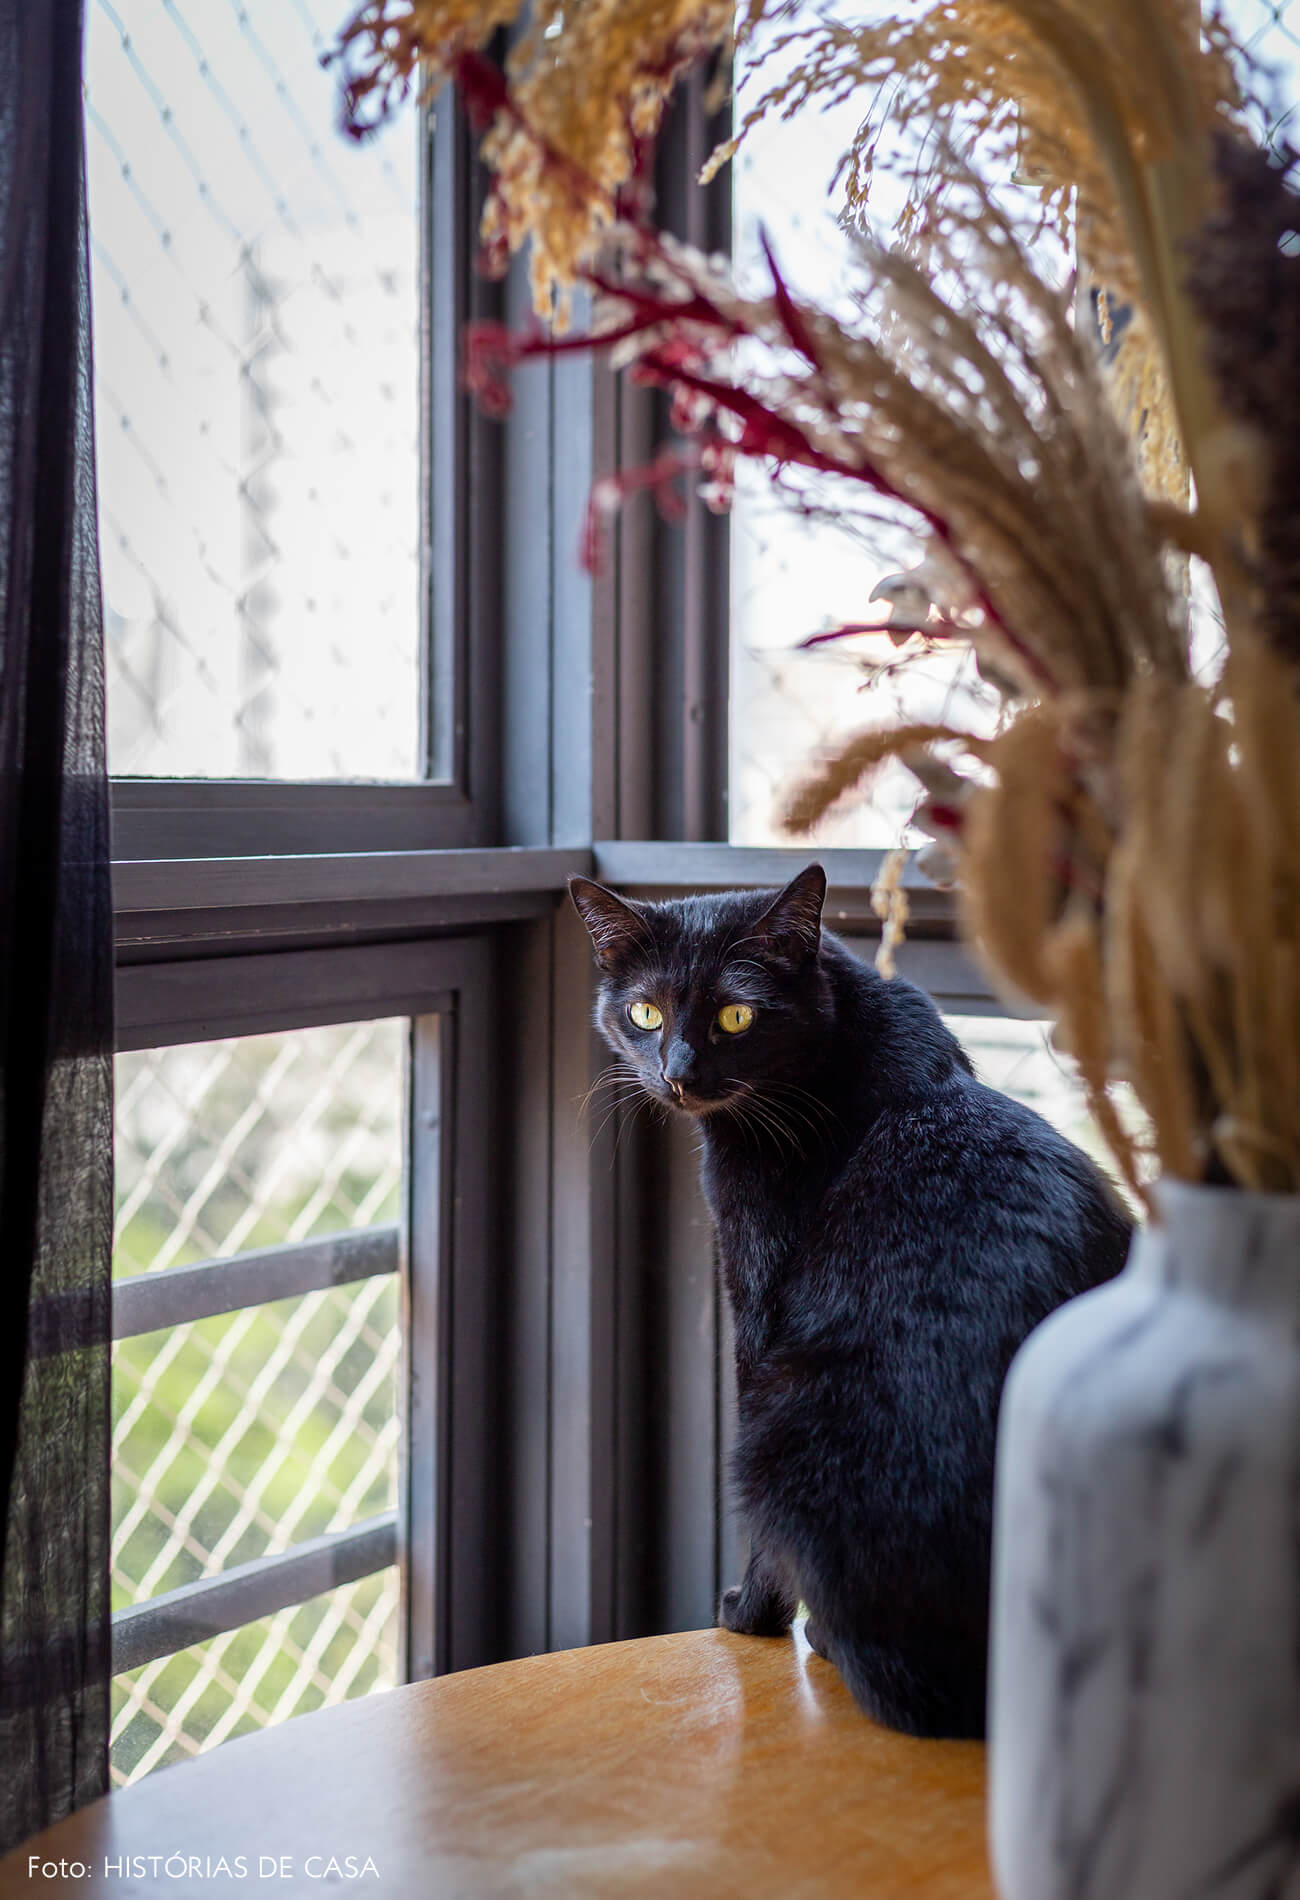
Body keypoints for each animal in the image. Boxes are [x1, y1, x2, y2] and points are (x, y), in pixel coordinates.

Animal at [570, 862, 1125, 1740]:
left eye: (735, 1014)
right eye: (645, 1012)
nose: (678, 1074)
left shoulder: (758, 1308)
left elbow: (762, 1546)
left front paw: (747, 1615)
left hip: (777, 1429)